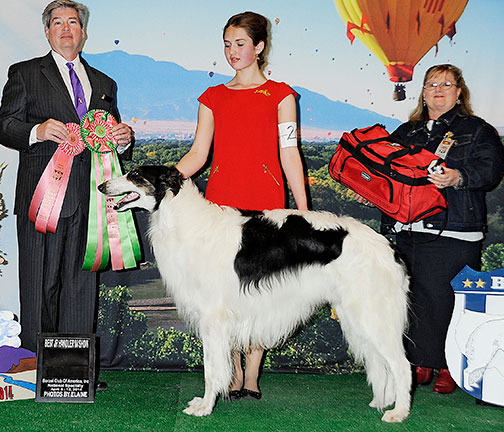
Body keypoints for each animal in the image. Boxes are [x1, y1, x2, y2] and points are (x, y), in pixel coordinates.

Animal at [97, 165, 410, 422]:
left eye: (135, 175)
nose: (100, 186)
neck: (185, 219)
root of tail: (388, 247)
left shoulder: (213, 318)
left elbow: (212, 369)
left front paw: (205, 407)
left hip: (372, 315)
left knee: (402, 365)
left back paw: (399, 412)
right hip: (356, 316)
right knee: (382, 363)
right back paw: (382, 402)